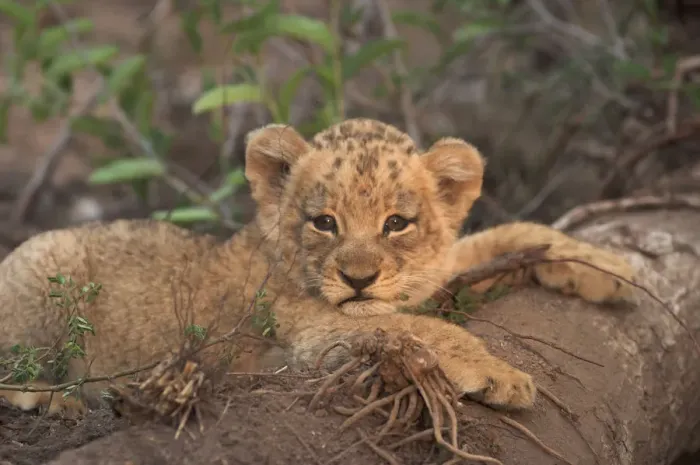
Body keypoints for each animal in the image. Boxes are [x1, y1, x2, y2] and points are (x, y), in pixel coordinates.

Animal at [0, 119, 636, 417]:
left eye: (396, 223)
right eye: (324, 222)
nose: (358, 279)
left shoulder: (435, 272)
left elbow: (514, 235)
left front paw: (615, 268)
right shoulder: (308, 330)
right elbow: (420, 327)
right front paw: (501, 375)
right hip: (42, 267)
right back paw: (54, 399)